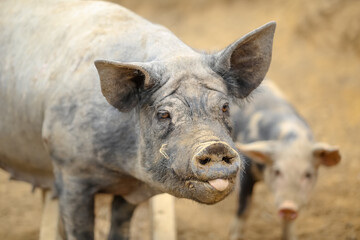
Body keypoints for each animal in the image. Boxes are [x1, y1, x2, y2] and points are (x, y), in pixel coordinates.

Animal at [0, 0, 276, 239]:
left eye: (225, 107)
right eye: (163, 114)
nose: (215, 146)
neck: (123, 171)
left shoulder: (131, 190)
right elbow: (80, 230)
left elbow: (121, 226)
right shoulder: (70, 170)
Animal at [229, 80, 342, 240]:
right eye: (277, 171)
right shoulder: (247, 174)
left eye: (308, 174)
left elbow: (288, 222)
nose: (288, 206)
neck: (292, 140)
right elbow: (244, 209)